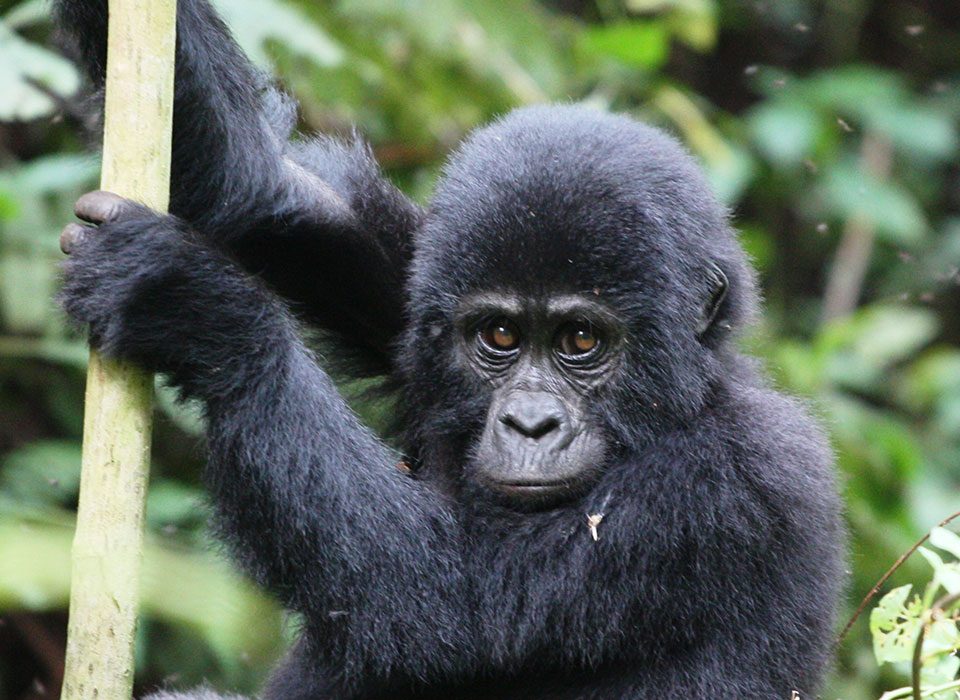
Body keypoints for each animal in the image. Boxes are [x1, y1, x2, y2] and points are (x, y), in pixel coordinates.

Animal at [56, 0, 844, 696]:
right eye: (499, 336)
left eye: (581, 340)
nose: (531, 423)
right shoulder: (417, 286)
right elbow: (256, 189)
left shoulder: (734, 484)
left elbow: (439, 603)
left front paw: (191, 304)